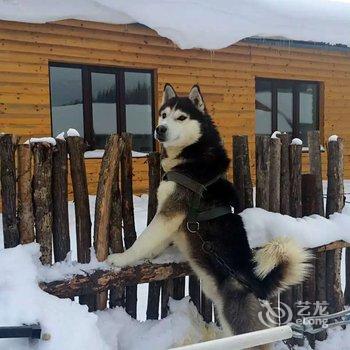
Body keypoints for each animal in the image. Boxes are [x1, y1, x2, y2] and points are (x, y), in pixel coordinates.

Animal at [108, 84, 310, 348]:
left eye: (181, 118)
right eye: (164, 115)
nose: (160, 129)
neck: (191, 156)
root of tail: (260, 285)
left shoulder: (170, 212)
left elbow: (144, 238)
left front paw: (122, 258)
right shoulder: (171, 219)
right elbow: (155, 241)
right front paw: (151, 255)